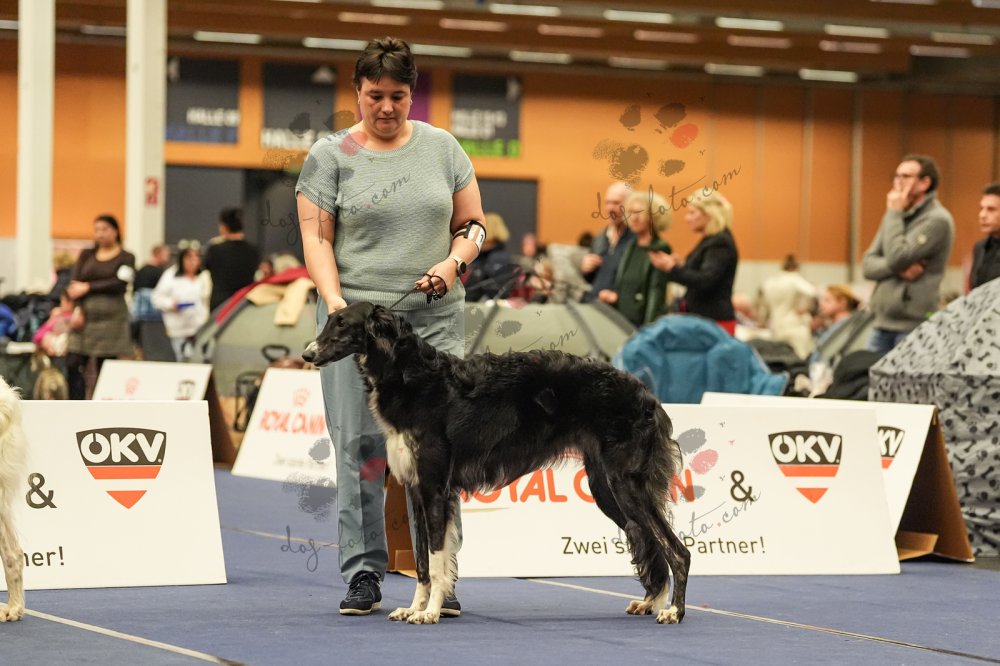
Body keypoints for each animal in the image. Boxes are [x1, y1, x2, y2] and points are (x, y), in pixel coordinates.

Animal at [303, 302, 689, 625]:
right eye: (330, 320)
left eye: (342, 324)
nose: (308, 354)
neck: (414, 377)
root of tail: (647, 394)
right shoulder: (415, 489)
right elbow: (423, 563)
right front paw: (413, 608)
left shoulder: (435, 488)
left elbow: (438, 560)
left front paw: (429, 613)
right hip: (605, 487)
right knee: (649, 540)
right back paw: (651, 601)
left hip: (625, 483)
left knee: (678, 550)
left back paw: (673, 611)